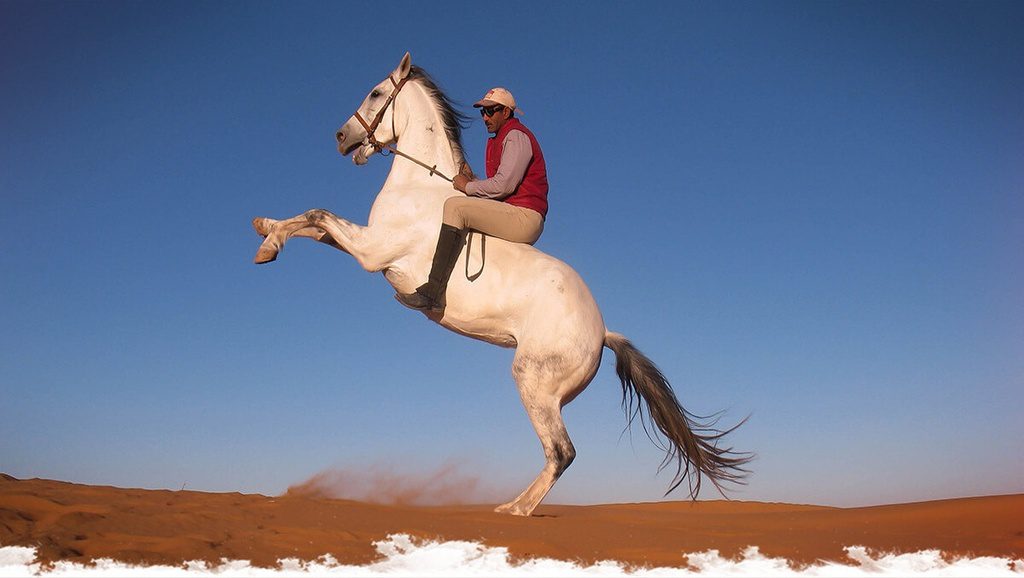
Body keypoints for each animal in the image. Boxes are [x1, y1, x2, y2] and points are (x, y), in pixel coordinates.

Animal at [252, 53, 751, 516]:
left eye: (376, 93)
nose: (341, 138)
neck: (420, 185)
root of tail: (601, 330)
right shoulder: (364, 245)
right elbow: (312, 224)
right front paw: (267, 234)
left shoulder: (372, 252)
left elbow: (318, 214)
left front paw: (267, 242)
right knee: (558, 453)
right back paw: (513, 505)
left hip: (533, 382)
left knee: (561, 452)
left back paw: (517, 510)